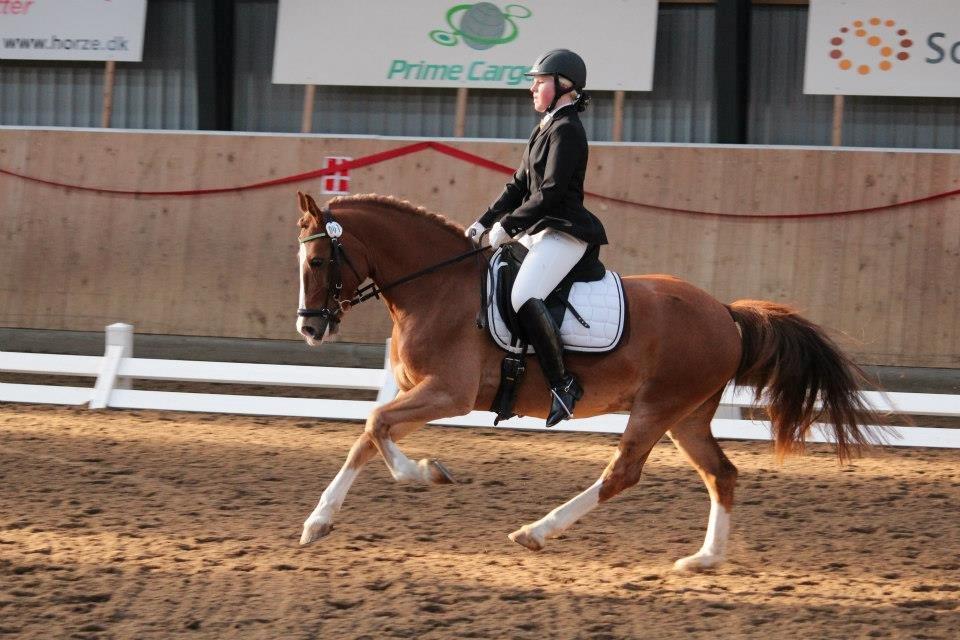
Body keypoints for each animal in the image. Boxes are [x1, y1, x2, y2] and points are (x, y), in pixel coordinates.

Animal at [294, 191, 878, 571]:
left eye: (319, 259)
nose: (310, 328)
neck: (436, 287)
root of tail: (726, 313)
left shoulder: (447, 393)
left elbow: (375, 424)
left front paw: (425, 473)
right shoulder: (422, 393)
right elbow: (370, 435)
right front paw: (318, 523)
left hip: (658, 408)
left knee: (623, 473)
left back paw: (536, 532)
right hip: (688, 415)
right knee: (722, 474)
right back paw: (704, 559)